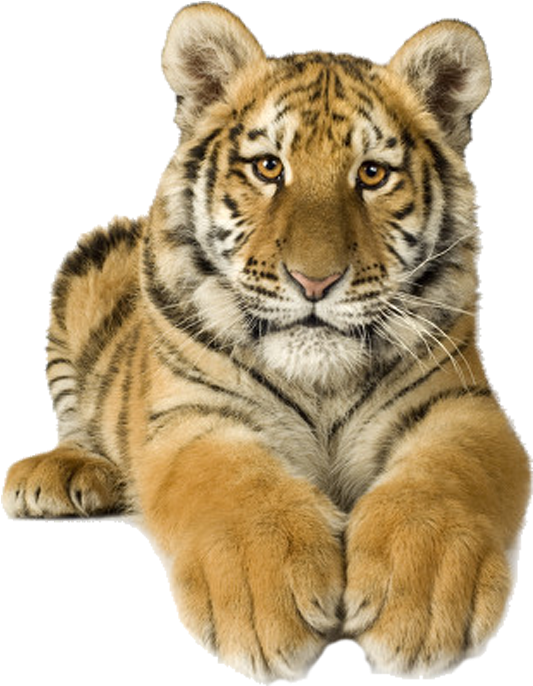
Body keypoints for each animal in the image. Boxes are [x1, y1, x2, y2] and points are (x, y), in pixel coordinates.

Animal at [2, 3, 530, 682]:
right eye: (269, 167)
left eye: (372, 174)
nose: (315, 281)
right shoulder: (193, 416)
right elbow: (235, 487)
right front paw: (267, 596)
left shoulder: (460, 405)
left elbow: (443, 479)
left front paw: (422, 595)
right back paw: (64, 474)